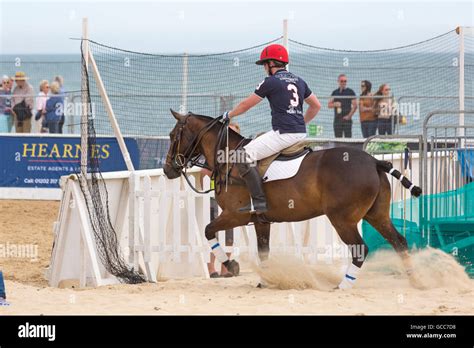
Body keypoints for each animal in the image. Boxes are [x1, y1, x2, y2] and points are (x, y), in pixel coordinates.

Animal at [165, 110, 424, 290]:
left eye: (173, 135)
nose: (168, 169)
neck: (227, 158)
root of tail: (374, 161)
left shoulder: (235, 215)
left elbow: (208, 230)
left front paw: (233, 266)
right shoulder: (261, 221)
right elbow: (263, 251)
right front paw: (266, 281)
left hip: (342, 220)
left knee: (361, 249)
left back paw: (344, 285)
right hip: (377, 215)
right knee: (399, 241)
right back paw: (417, 281)